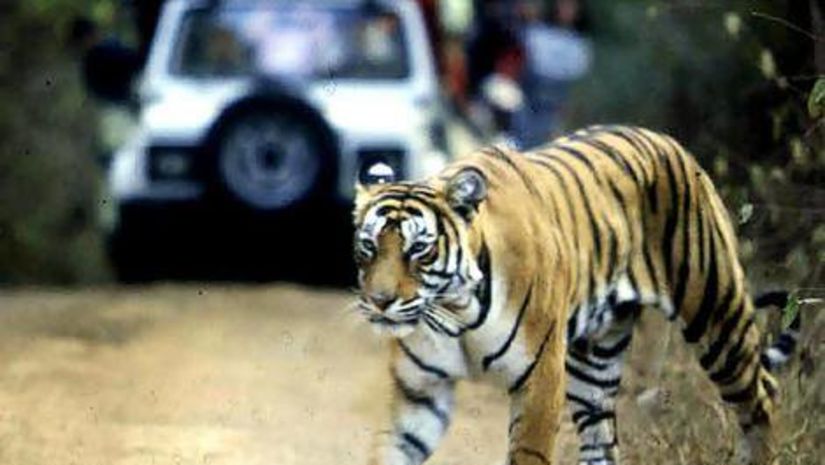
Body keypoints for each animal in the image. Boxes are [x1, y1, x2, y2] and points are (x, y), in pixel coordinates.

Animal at [350, 125, 800, 464]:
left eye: (419, 249)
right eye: (369, 246)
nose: (379, 301)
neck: (454, 311)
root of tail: (671, 142)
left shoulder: (539, 379)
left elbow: (528, 454)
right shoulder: (419, 393)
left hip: (715, 313)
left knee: (764, 396)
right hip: (594, 364)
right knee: (603, 439)